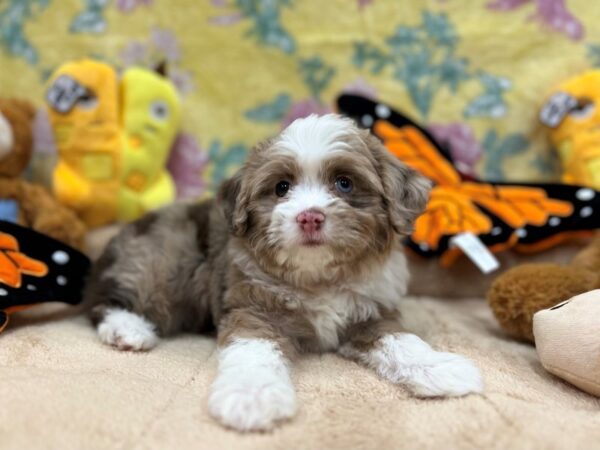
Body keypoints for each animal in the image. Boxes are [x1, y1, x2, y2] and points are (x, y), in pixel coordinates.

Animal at [84, 114, 482, 430]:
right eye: (281, 188)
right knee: (106, 301)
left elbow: (401, 340)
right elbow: (253, 354)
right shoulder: (253, 311)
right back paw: (128, 329)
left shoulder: (373, 311)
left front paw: (438, 367)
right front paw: (252, 397)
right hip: (163, 261)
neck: (318, 278)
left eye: (344, 183)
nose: (310, 217)